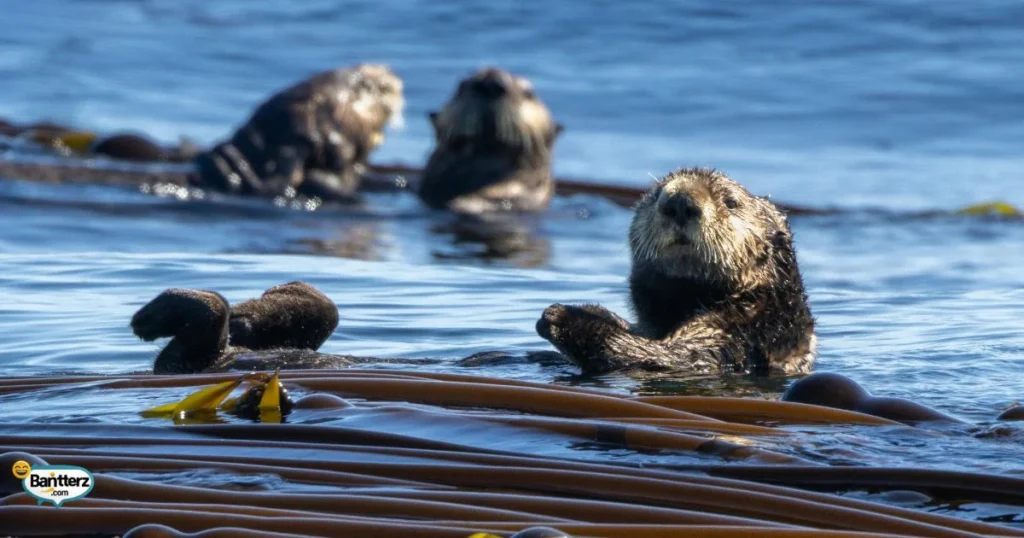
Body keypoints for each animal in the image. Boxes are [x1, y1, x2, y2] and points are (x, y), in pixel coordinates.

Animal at [536, 167, 816, 376]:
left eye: (731, 202)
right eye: (656, 194)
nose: (680, 202)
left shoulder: (736, 340)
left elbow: (663, 357)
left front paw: (560, 316)